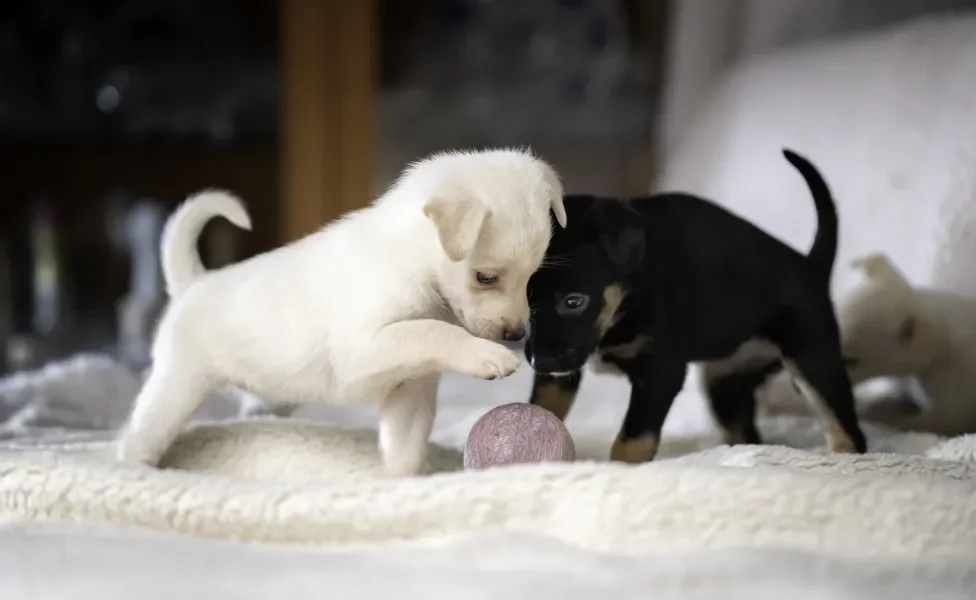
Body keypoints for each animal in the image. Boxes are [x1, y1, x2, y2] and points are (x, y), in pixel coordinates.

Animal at [118, 149, 568, 474]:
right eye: (485, 277)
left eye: (532, 277)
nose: (517, 336)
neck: (412, 260)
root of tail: (193, 285)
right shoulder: (362, 349)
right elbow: (432, 331)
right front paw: (487, 356)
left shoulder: (411, 389)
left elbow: (404, 448)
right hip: (177, 387)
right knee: (136, 437)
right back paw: (137, 472)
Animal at [528, 150, 864, 464]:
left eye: (574, 302)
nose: (539, 361)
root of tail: (811, 265)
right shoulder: (557, 378)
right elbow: (542, 407)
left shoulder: (660, 372)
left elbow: (632, 441)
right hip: (726, 386)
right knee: (746, 433)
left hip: (813, 358)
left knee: (847, 431)